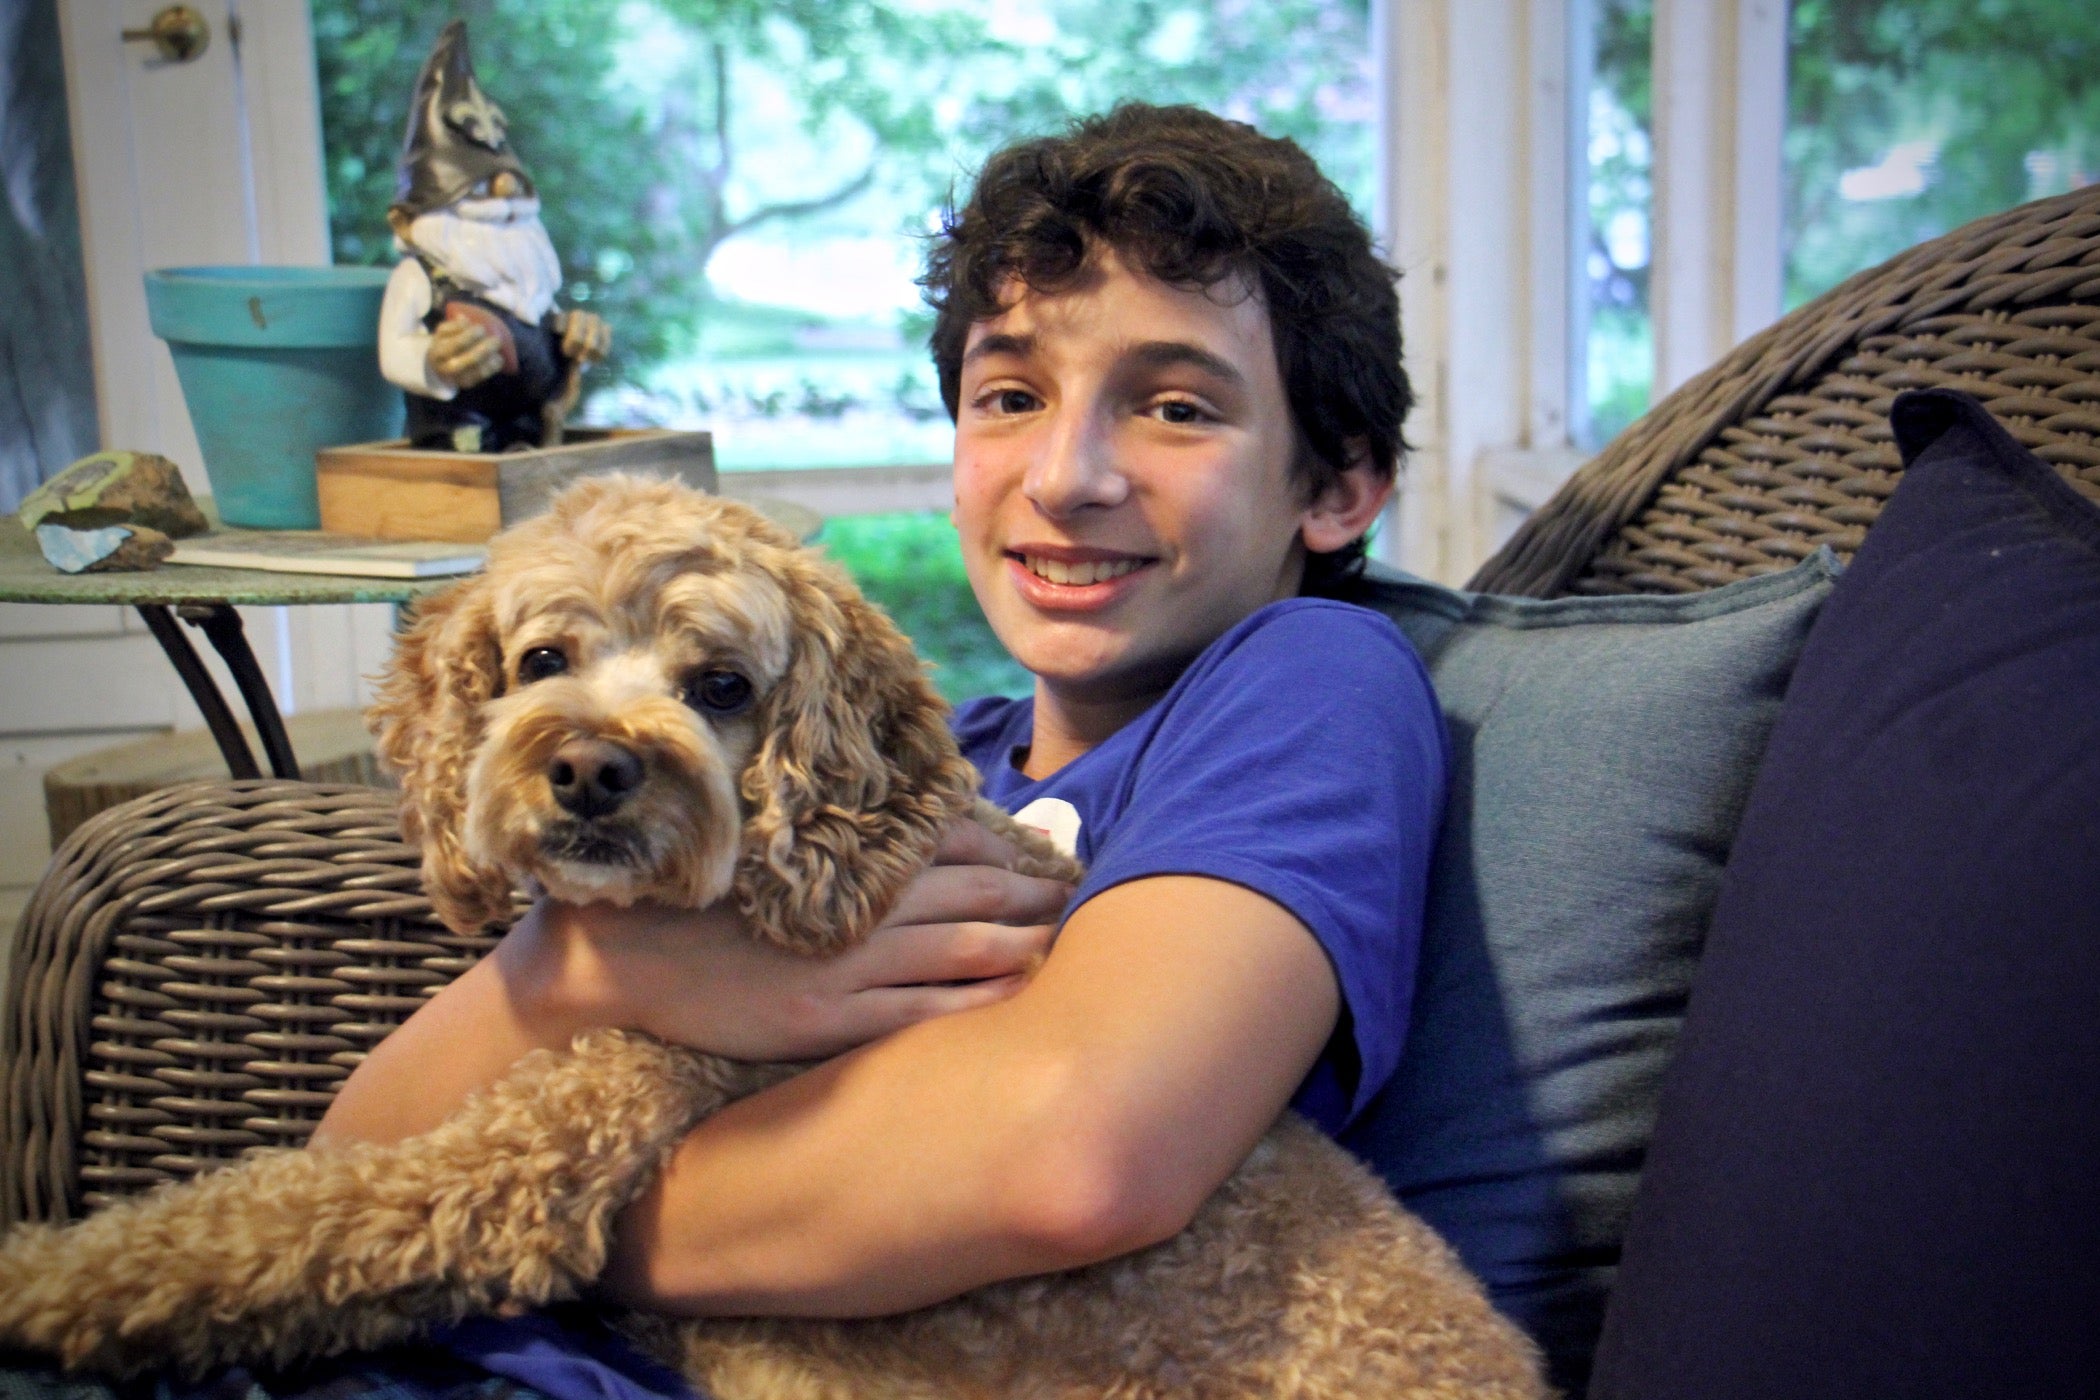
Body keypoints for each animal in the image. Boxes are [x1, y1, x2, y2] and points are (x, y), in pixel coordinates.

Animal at [0, 476, 1545, 1393]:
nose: (593, 767)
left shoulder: (539, 1151)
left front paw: (48, 1279)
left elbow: (284, 1214)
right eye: (543, 660)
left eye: (723, 684)